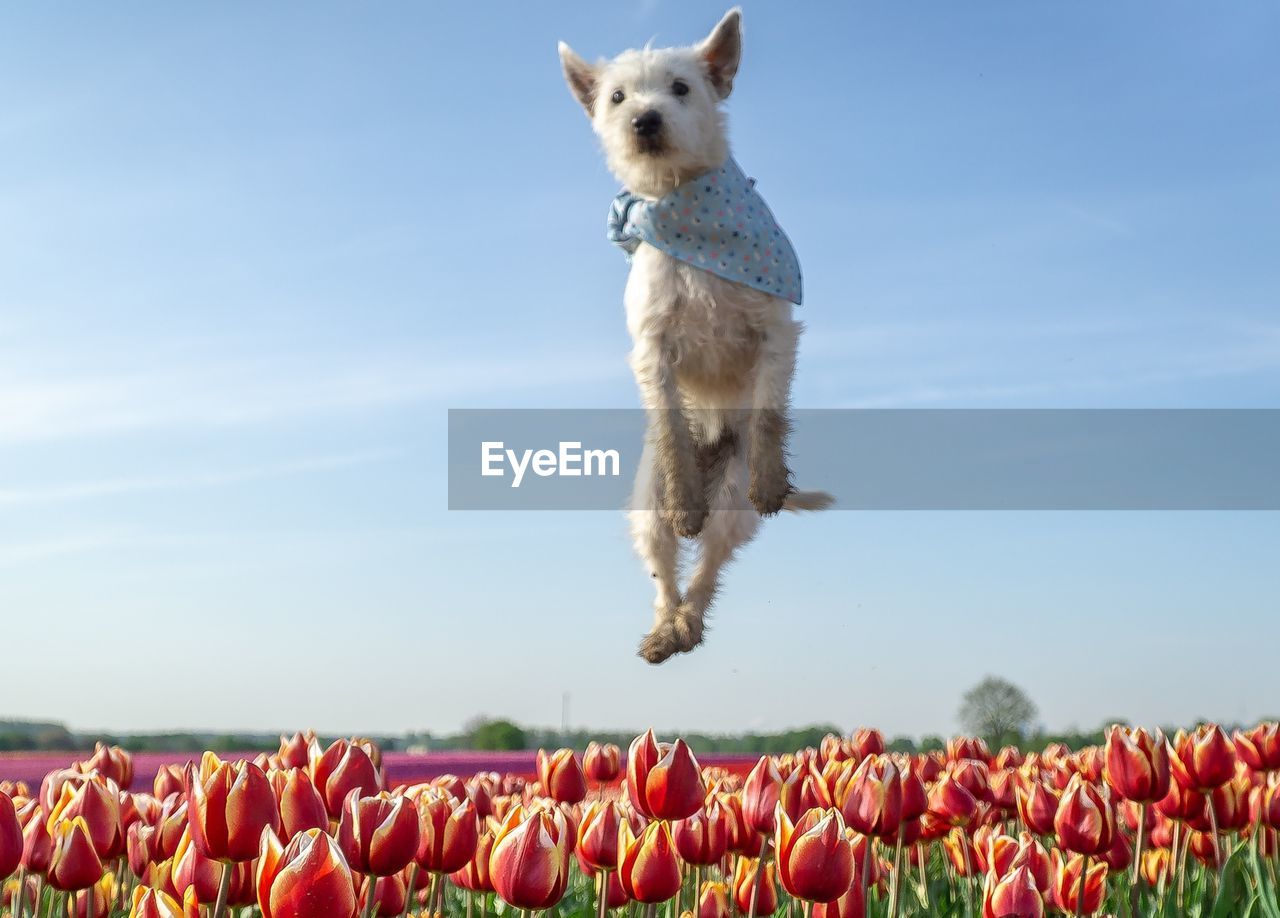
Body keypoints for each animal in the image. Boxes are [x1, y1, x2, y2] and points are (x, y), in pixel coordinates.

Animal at [560, 10, 829, 660]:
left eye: (681, 88)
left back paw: (689, 622)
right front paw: (686, 493)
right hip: (645, 507)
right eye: (617, 97)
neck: (682, 208)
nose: (645, 120)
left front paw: (771, 476)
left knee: (708, 570)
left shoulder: (776, 331)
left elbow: (768, 414)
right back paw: (667, 627)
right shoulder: (652, 348)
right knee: (666, 571)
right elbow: (668, 420)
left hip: (730, 505)